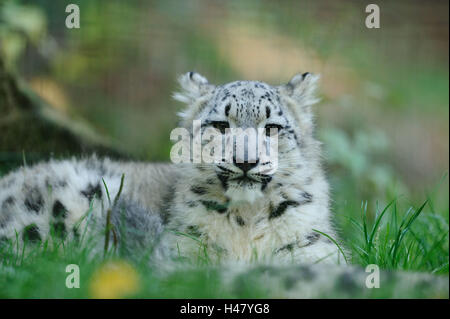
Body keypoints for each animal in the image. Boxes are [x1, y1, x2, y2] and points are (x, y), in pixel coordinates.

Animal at [0, 72, 344, 264]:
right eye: (221, 125)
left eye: (272, 127)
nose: (245, 161)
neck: (246, 220)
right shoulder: (185, 252)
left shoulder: (313, 248)